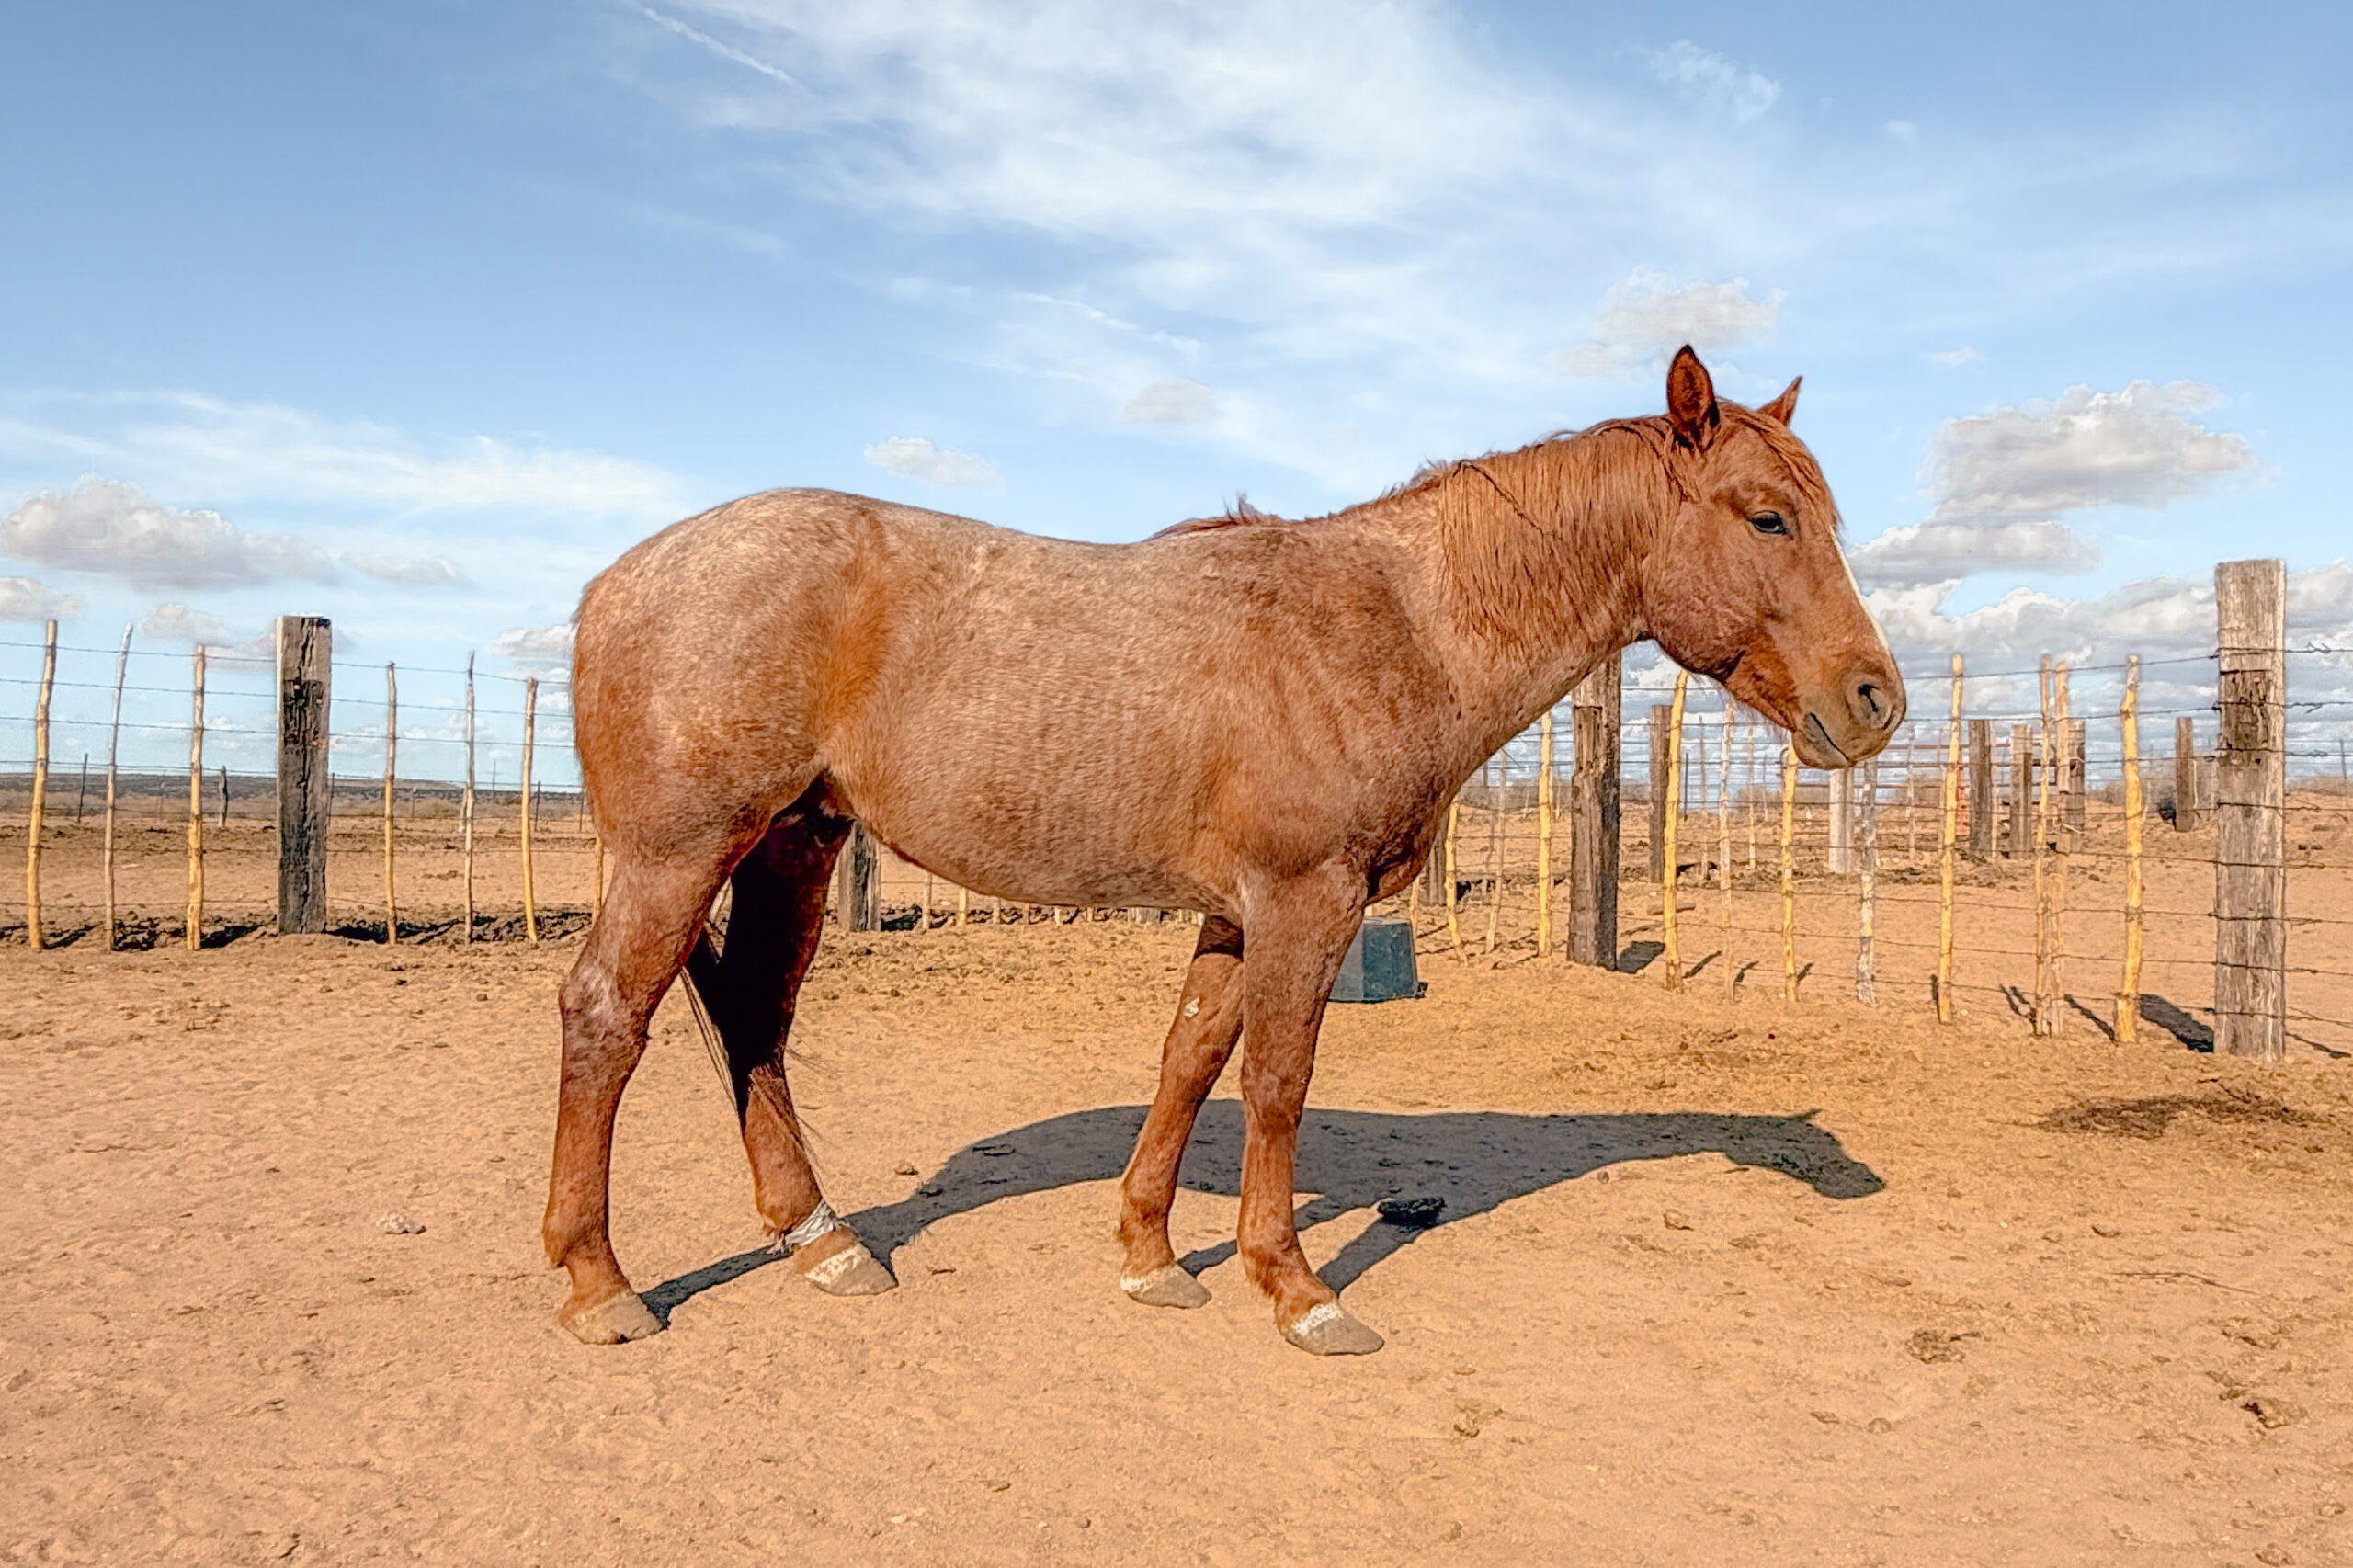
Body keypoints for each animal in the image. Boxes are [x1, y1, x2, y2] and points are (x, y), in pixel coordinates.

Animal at [542, 346, 1904, 1356]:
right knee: (608, 1016)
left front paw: (1151, 1255)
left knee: (754, 1021)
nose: (1874, 698)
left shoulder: (1237, 910)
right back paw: (600, 1281)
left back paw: (823, 1240)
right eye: (1768, 515)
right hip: (681, 853)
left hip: (794, 843)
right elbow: (1276, 1084)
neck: (1395, 623)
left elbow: (1192, 1059)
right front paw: (1296, 1286)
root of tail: (616, 580)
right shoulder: (1306, 899)